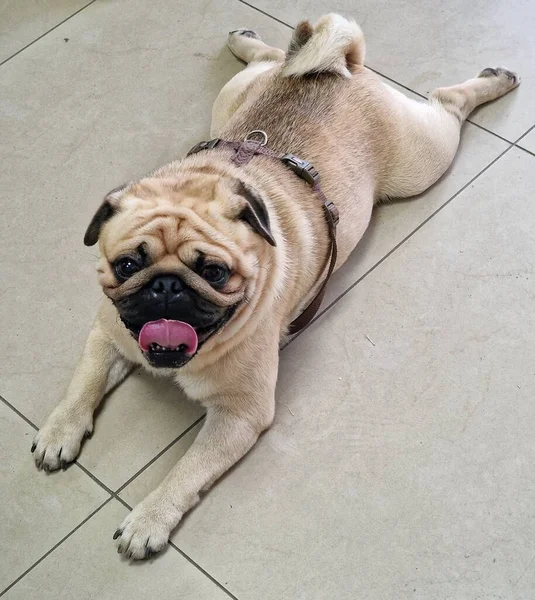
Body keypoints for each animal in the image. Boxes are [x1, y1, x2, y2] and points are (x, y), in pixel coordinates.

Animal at [32, 12, 520, 556]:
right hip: (230, 102)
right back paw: (248, 41)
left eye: (214, 272)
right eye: (126, 265)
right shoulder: (106, 334)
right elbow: (85, 381)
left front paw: (149, 518)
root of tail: (334, 66)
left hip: (422, 159)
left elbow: (186, 469)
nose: (166, 286)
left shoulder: (238, 415)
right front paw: (59, 429)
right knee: (273, 57)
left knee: (447, 102)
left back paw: (495, 80)